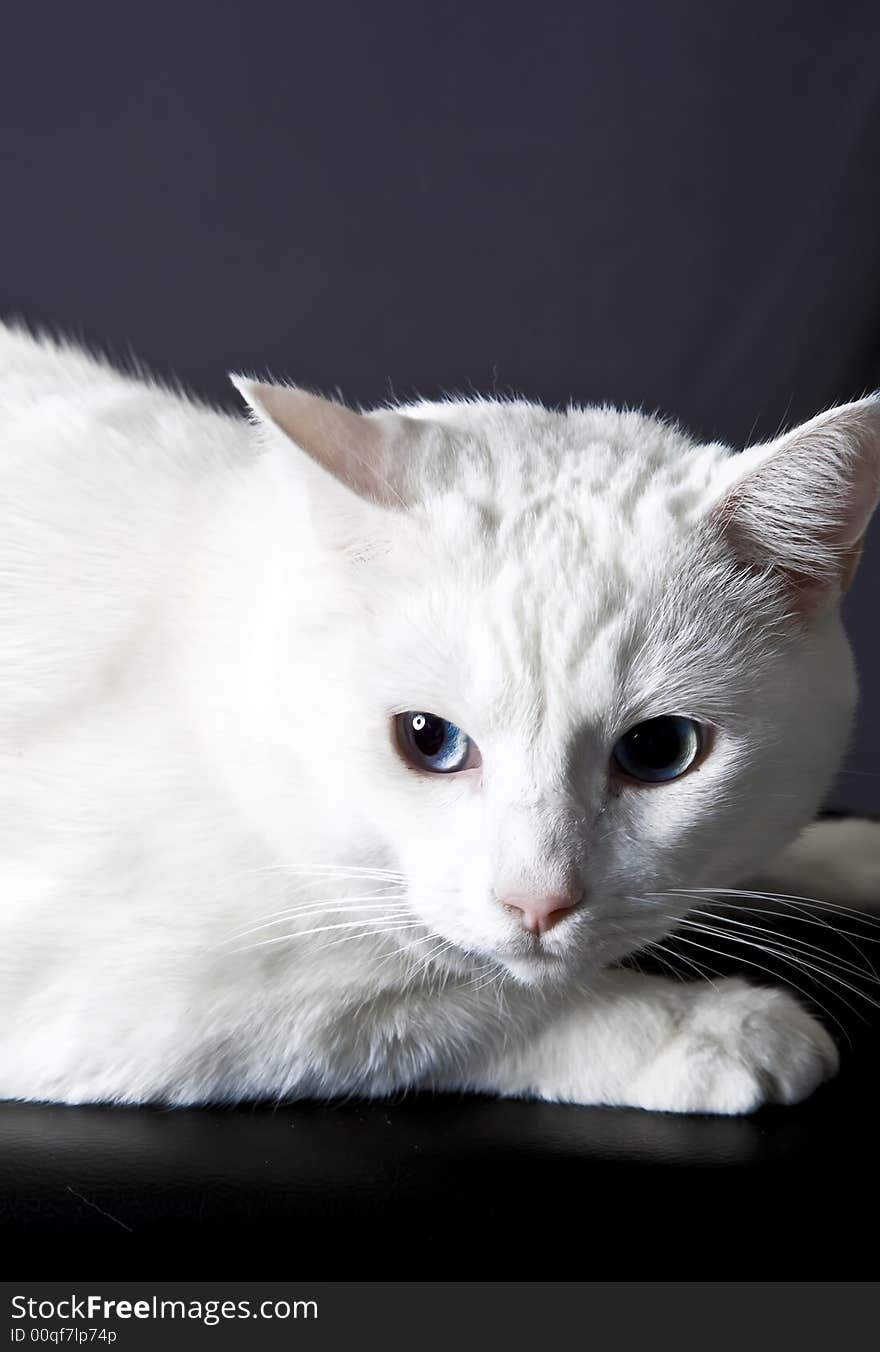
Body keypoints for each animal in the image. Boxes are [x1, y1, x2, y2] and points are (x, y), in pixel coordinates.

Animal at [0, 321, 875, 1114]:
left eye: (660, 750)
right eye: (428, 740)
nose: (538, 902)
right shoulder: (107, 992)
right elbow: (468, 1000)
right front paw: (701, 1027)